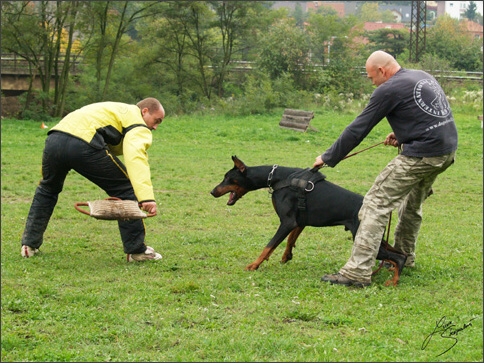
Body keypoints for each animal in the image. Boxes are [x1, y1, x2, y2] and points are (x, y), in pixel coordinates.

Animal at [212, 156, 408, 288]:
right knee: (402, 254)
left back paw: (393, 281)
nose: (212, 192)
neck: (274, 177)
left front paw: (254, 265)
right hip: (374, 237)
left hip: (363, 237)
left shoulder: (287, 222)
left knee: (399, 257)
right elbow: (290, 240)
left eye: (228, 178)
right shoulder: (299, 222)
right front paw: (286, 256)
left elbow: (269, 246)